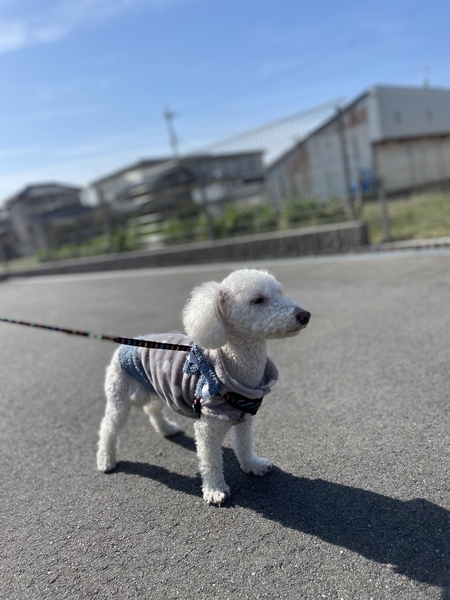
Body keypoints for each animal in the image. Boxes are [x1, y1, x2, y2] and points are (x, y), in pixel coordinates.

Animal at [97, 269, 310, 505]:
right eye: (257, 300)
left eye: (280, 293)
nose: (305, 315)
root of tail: (129, 342)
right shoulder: (207, 427)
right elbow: (211, 461)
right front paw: (214, 490)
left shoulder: (245, 418)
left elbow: (244, 445)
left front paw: (253, 465)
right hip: (121, 393)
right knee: (109, 427)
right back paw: (105, 459)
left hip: (156, 385)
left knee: (152, 408)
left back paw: (167, 429)